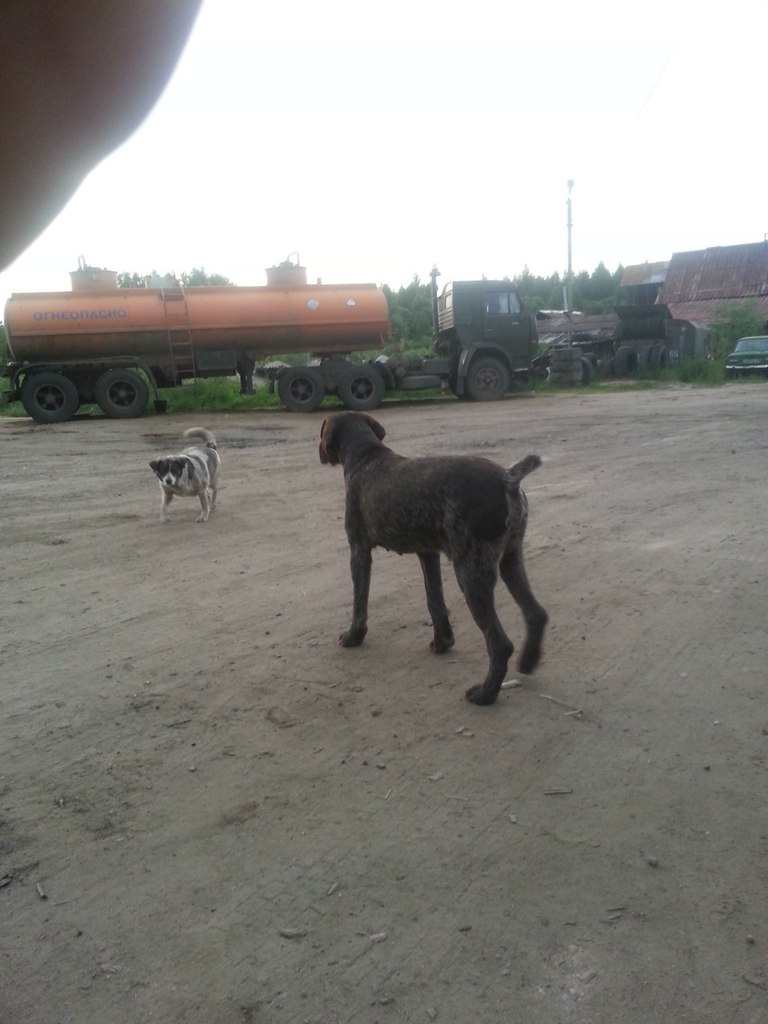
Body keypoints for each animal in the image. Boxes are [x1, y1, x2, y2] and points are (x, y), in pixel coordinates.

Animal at [319, 412, 548, 705]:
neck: (366, 455)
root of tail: (507, 478)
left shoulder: (359, 549)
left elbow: (360, 601)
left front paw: (353, 636)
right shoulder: (428, 553)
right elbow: (434, 600)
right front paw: (443, 642)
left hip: (471, 573)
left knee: (500, 644)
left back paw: (485, 694)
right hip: (510, 560)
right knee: (536, 614)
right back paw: (529, 661)